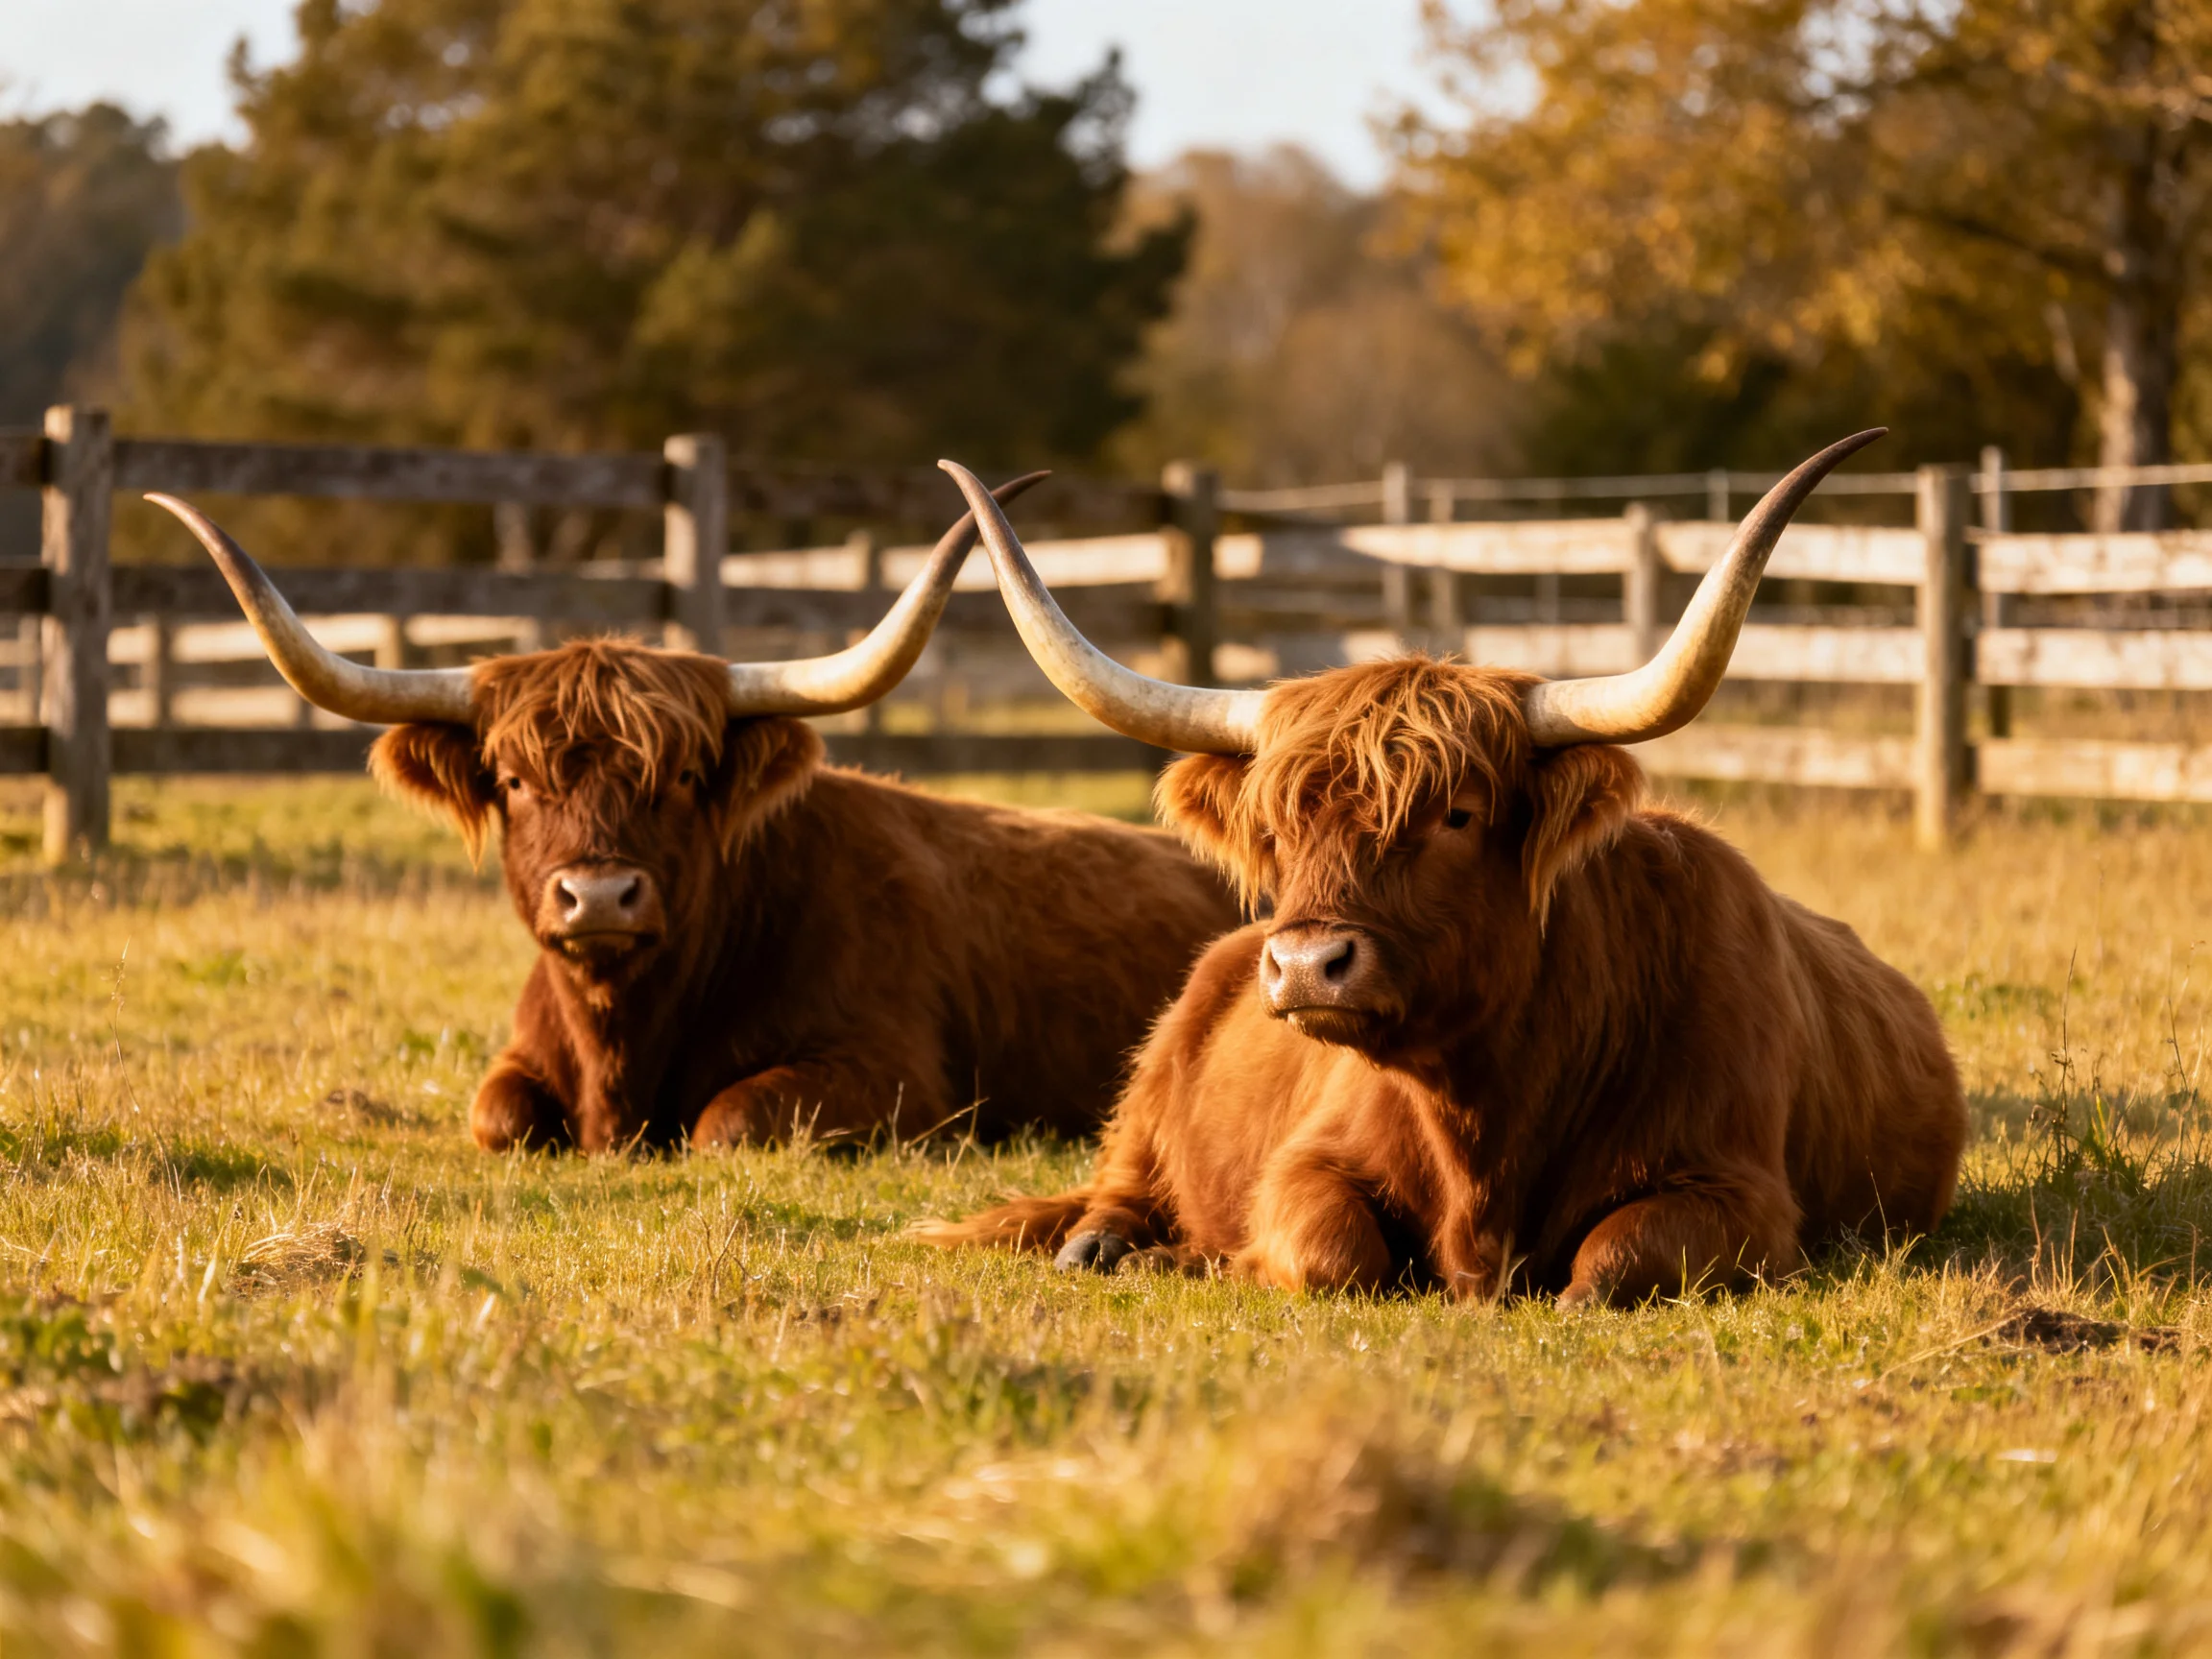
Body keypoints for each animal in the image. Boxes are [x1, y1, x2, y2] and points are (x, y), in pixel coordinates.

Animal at [149, 479, 1239, 1154]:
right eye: (513, 780)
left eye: (680, 776)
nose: (598, 898)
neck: (624, 1048)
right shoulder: (517, 1068)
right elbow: (498, 1116)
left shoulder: (900, 1080)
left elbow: (729, 1121)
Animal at [920, 436, 1967, 1306]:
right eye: (1279, 828)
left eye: (1457, 814)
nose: (1305, 967)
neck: (1482, 1114)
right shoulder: (1306, 1164)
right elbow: (1332, 1252)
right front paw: (1210, 1258)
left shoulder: (1738, 1192)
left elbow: (1612, 1261)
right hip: (1147, 1092)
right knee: (1108, 1202)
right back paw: (1118, 1247)